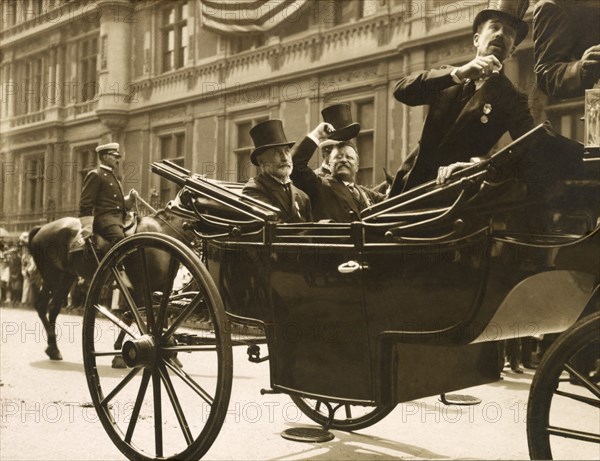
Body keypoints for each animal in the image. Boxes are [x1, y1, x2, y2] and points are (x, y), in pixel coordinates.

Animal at [27, 206, 192, 362]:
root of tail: (41, 228)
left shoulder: (162, 288)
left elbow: (160, 319)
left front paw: (172, 353)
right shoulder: (141, 288)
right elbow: (132, 316)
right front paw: (120, 354)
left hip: (66, 278)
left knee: (52, 308)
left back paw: (53, 348)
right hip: (52, 277)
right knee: (42, 305)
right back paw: (53, 347)